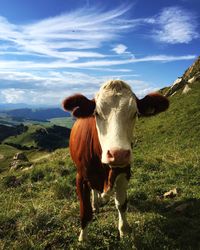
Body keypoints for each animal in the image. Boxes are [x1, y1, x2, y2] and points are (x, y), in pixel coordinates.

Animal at [62, 79, 169, 241]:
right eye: (96, 113)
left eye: (135, 113)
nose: (118, 154)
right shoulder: (80, 177)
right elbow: (85, 211)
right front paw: (83, 238)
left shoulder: (124, 172)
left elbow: (121, 204)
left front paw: (124, 230)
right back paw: (96, 203)